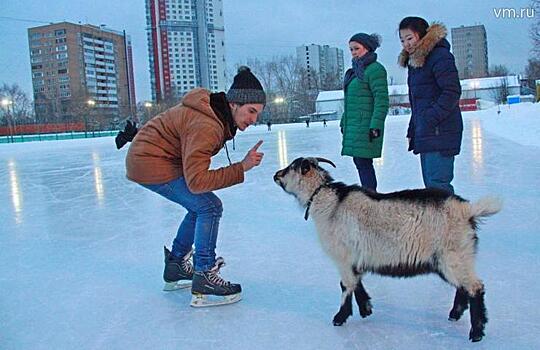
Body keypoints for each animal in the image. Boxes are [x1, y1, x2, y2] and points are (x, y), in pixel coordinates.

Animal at [274, 158, 502, 342]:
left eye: (292, 167)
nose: (276, 175)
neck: (328, 200)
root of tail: (467, 210)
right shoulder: (355, 259)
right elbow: (357, 283)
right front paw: (366, 309)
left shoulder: (343, 258)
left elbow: (346, 286)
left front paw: (339, 318)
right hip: (453, 259)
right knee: (463, 287)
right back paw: (455, 314)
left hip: (453, 257)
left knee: (475, 288)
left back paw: (476, 333)